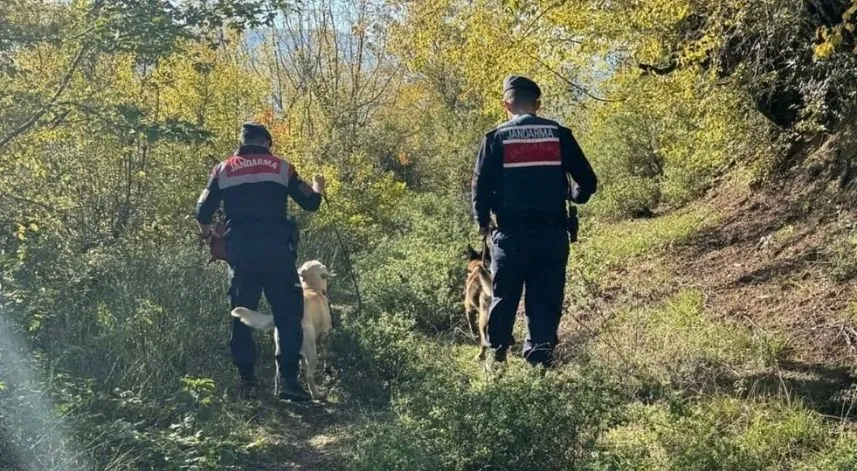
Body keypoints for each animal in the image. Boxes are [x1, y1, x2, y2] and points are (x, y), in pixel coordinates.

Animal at [231, 260, 334, 400]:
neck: (312, 289)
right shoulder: (324, 334)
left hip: (280, 349)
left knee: (278, 375)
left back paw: (279, 392)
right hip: (311, 351)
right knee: (309, 376)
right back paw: (316, 394)